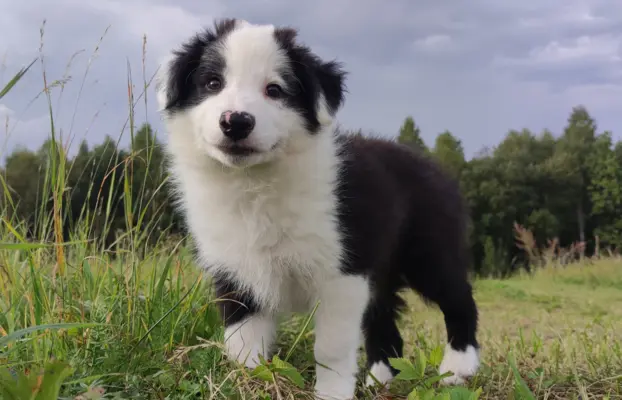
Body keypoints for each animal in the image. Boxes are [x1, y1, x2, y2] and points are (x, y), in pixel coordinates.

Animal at [157, 18, 482, 400]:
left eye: (275, 89)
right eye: (212, 83)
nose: (235, 121)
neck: (253, 183)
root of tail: (433, 164)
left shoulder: (341, 272)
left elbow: (331, 348)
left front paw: (332, 392)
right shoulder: (236, 273)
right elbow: (243, 342)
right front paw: (247, 383)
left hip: (428, 249)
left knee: (458, 298)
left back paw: (458, 368)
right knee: (384, 322)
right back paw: (379, 379)